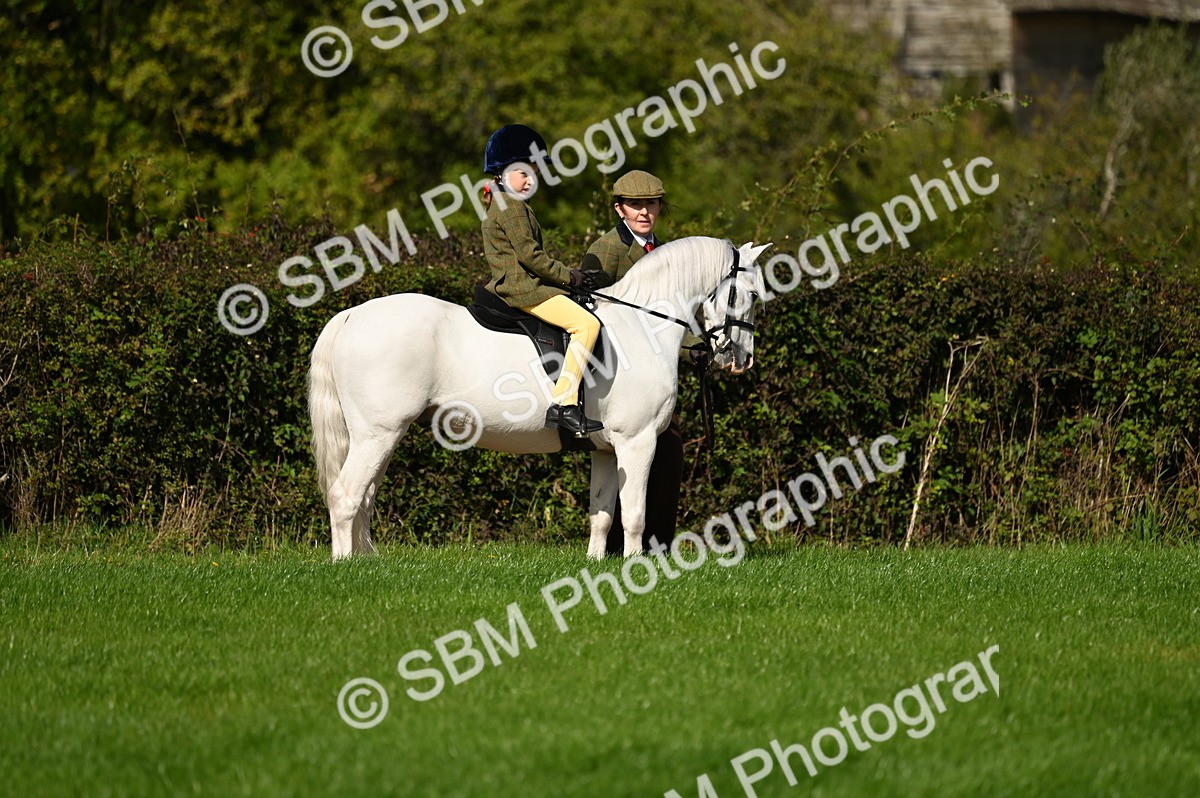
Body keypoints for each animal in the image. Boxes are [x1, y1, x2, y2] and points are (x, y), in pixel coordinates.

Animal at [308, 236, 771, 560]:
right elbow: (635, 514)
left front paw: (595, 564)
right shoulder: (637, 442)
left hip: (382, 437)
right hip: (377, 434)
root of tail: (351, 315)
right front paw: (635, 566)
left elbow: (603, 513)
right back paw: (345, 565)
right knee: (346, 495)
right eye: (749, 294)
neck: (642, 324)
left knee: (364, 497)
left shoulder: (606, 450)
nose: (742, 358)